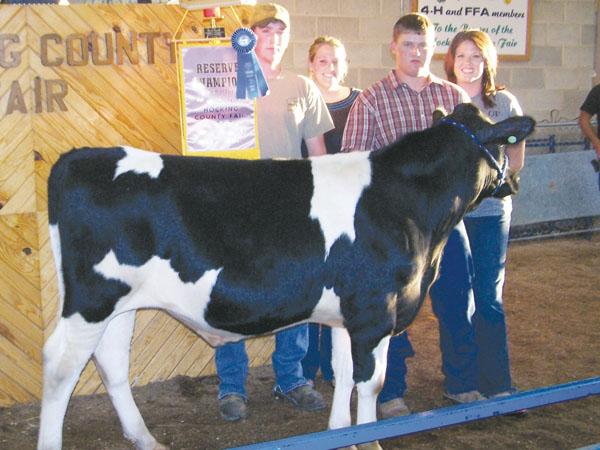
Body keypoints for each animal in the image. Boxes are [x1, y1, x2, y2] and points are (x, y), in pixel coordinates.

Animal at [37, 103, 536, 448]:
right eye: (506, 141)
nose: (515, 181)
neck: (408, 203)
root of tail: (79, 158)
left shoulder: (347, 315)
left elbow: (343, 374)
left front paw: (340, 437)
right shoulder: (376, 311)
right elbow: (369, 382)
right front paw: (368, 439)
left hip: (120, 304)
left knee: (111, 363)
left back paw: (145, 438)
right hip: (91, 300)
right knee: (60, 366)